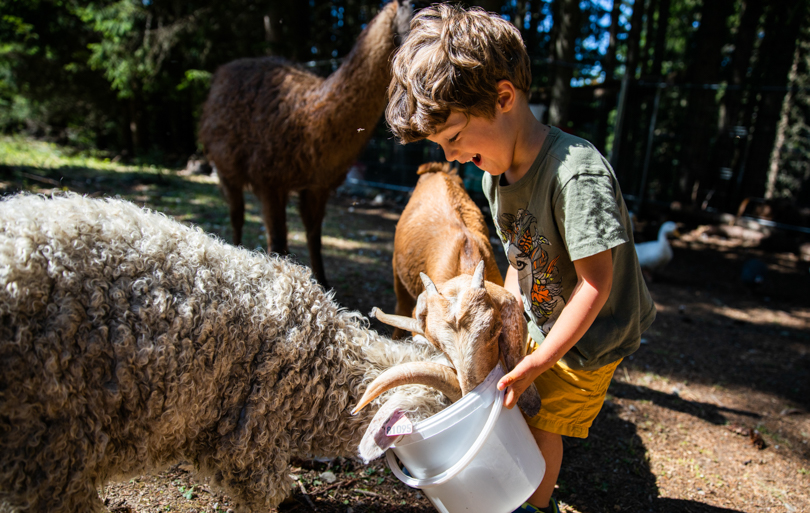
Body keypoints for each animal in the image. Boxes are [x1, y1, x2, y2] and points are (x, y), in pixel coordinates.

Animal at [196, 0, 410, 288]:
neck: (307, 120)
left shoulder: (317, 185)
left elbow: (314, 238)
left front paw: (323, 284)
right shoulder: (269, 181)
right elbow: (278, 242)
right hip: (225, 167)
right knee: (237, 215)